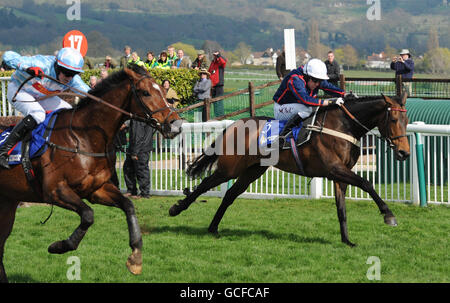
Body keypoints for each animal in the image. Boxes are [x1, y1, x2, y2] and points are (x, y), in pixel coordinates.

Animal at [0, 65, 183, 284]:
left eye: (164, 91)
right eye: (145, 92)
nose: (176, 124)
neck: (83, 137)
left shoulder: (96, 190)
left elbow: (128, 205)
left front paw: (136, 257)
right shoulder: (54, 191)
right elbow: (88, 215)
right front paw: (59, 246)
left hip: (8, 203)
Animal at [170, 94, 412, 248]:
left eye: (406, 120)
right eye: (393, 119)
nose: (404, 152)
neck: (343, 125)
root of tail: (233, 125)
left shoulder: (339, 175)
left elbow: (341, 209)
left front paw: (347, 241)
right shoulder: (334, 169)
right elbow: (366, 183)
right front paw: (388, 215)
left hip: (252, 171)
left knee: (229, 194)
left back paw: (213, 228)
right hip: (229, 169)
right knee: (204, 185)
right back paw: (177, 209)